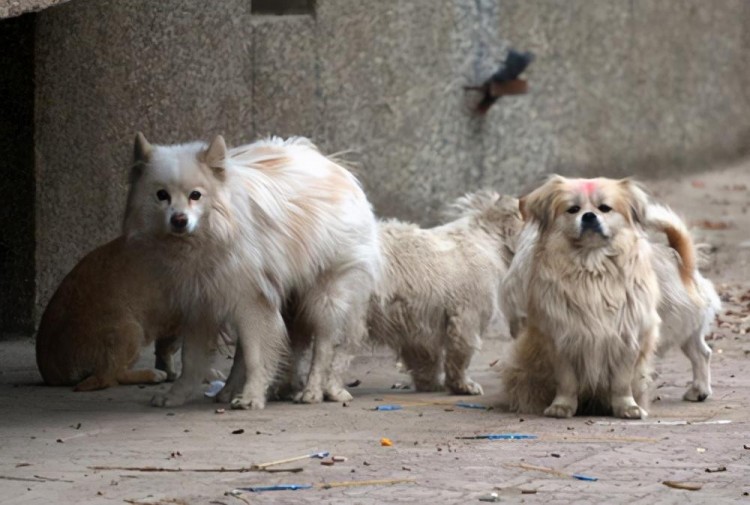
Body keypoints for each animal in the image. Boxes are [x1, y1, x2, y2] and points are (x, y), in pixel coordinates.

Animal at [126, 132, 382, 408]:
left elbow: (257, 356)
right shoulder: (201, 304)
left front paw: (252, 396)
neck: (210, 235)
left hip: (324, 296)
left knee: (323, 346)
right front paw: (176, 395)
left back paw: (311, 391)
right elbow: (192, 360)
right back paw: (233, 391)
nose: (179, 220)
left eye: (196, 195)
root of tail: (336, 168)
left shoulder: (251, 300)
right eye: (161, 195)